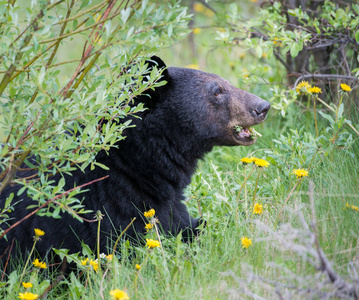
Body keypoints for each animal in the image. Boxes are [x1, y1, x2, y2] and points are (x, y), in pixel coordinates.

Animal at [0, 56, 270, 264]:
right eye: (217, 91)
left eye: (226, 83)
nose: (263, 106)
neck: (135, 164)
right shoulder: (111, 211)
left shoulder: (167, 205)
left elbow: (188, 225)